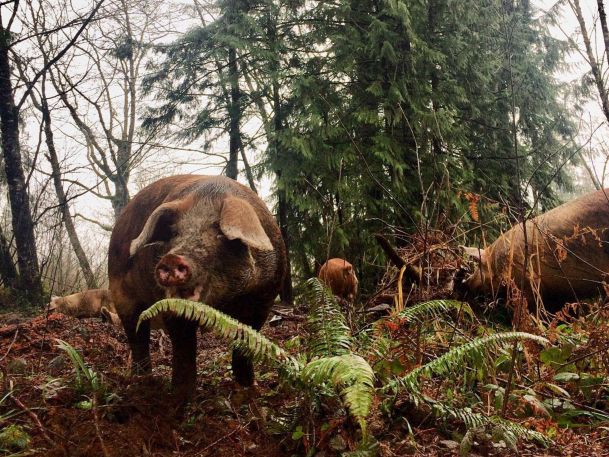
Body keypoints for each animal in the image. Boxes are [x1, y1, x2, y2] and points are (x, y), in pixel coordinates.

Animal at [108, 175, 286, 400]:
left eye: (219, 233)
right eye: (174, 233)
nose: (172, 258)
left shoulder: (263, 301)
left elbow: (245, 343)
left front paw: (249, 389)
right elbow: (183, 348)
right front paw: (181, 398)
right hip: (120, 295)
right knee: (137, 337)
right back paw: (142, 382)